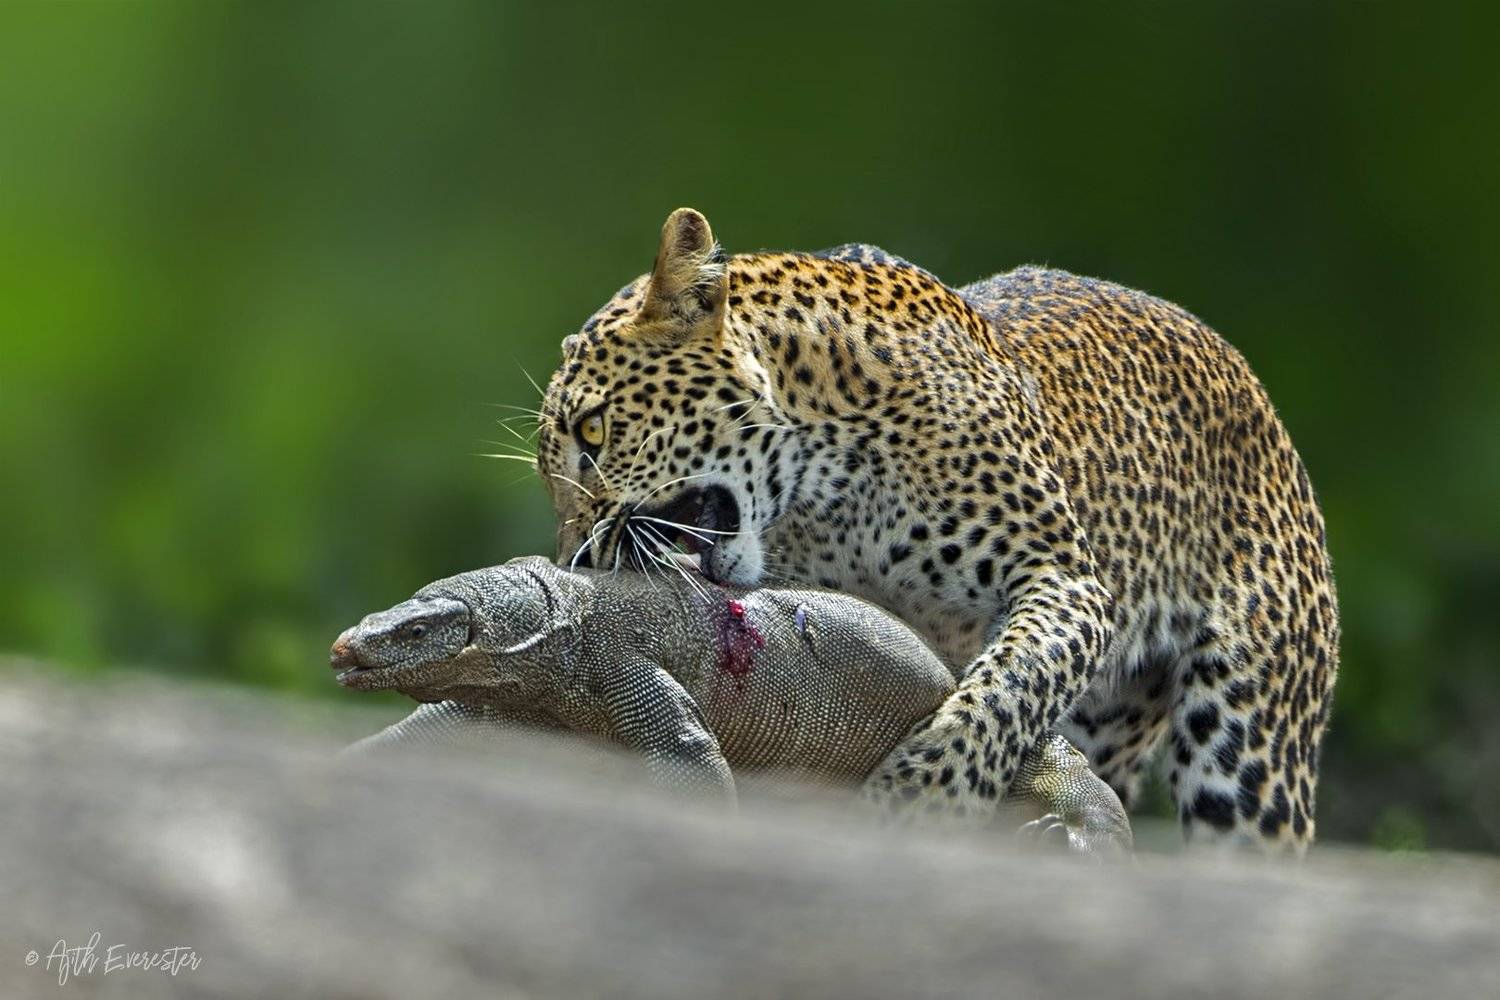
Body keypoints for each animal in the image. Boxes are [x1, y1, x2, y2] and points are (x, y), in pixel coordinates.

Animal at [532, 207, 1339, 852]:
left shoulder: (1064, 579)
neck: (825, 484)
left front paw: (916, 804)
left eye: (594, 430)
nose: (575, 556)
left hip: (1249, 752)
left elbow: (1002, 691)